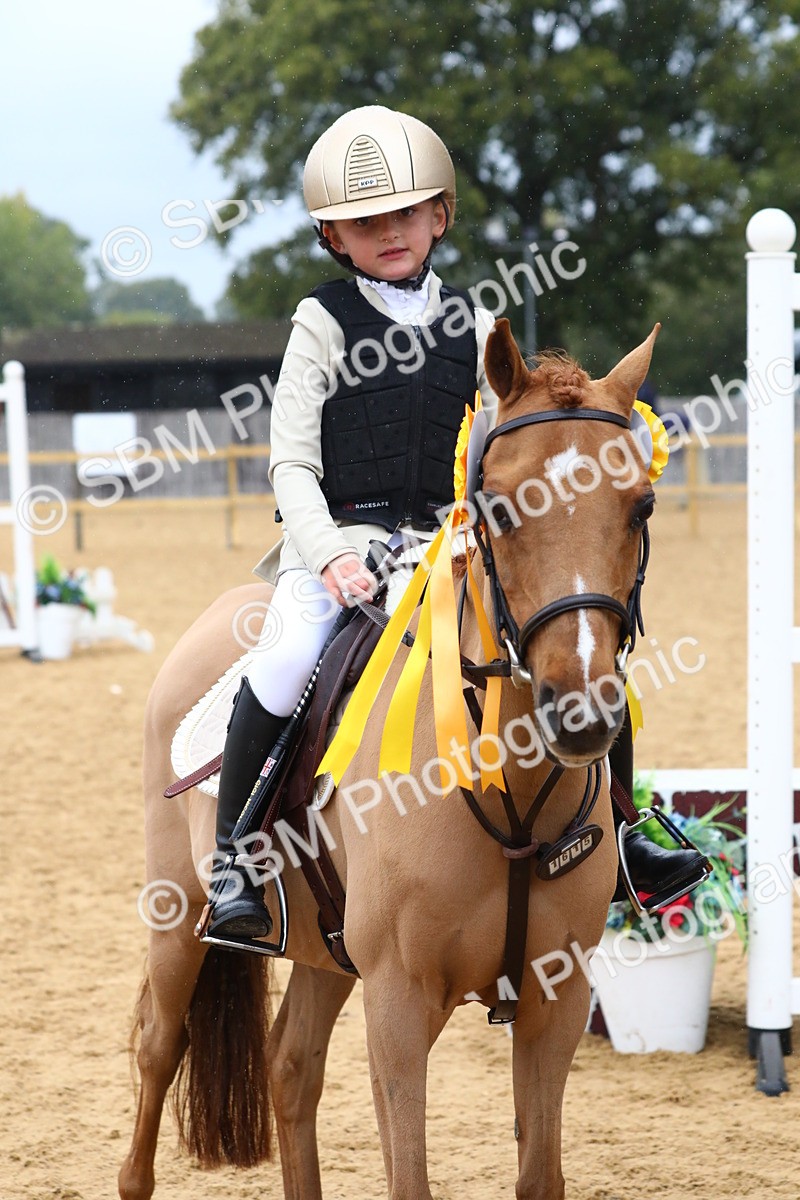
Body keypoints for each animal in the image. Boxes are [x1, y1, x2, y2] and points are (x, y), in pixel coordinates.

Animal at [118, 316, 660, 1200]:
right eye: (497, 506)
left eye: (640, 503)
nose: (581, 713)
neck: (507, 793)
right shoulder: (400, 1002)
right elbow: (410, 1177)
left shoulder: (558, 999)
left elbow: (539, 1174)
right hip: (177, 919)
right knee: (159, 1049)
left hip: (326, 952)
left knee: (290, 1067)